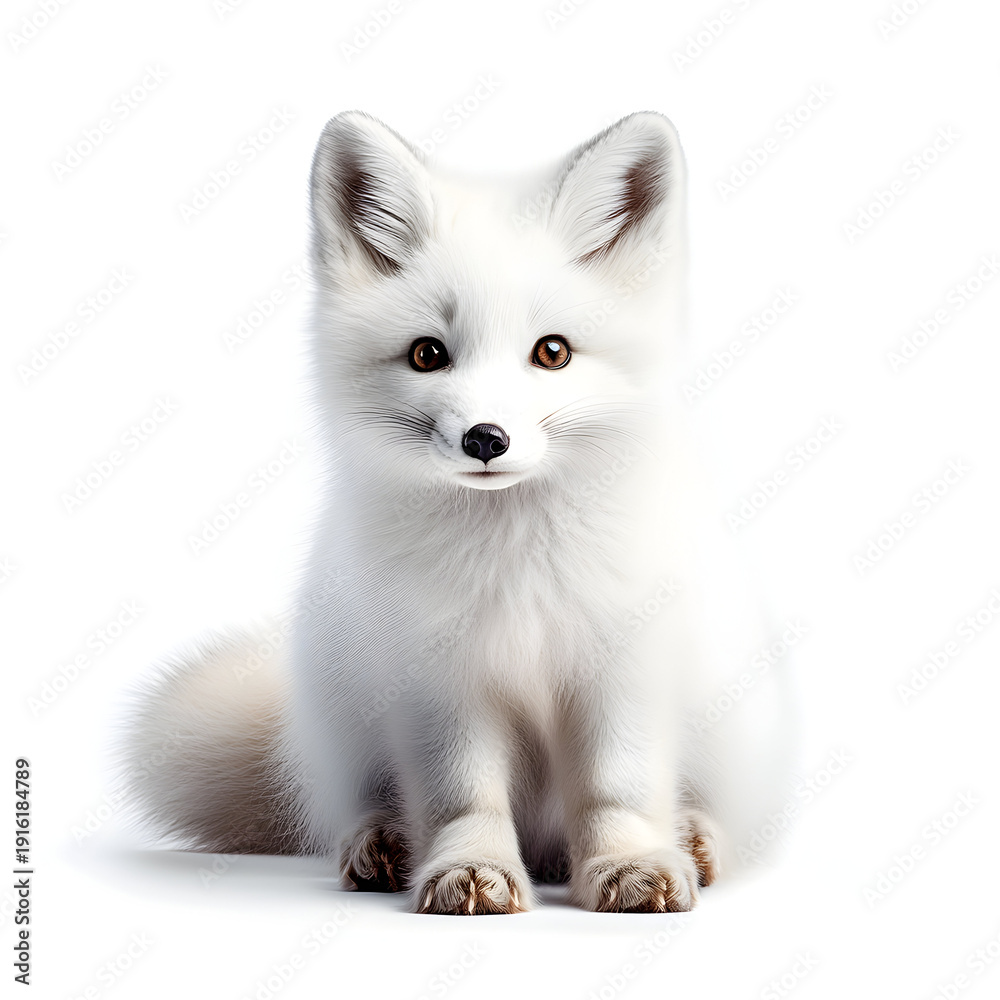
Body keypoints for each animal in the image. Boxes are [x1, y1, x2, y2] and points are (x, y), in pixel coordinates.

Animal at [121, 110, 793, 914]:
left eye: (553, 352)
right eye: (427, 354)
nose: (485, 439)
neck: (517, 567)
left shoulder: (623, 667)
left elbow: (616, 788)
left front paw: (631, 865)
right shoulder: (438, 684)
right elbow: (463, 798)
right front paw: (468, 869)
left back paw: (692, 838)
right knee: (361, 804)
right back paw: (383, 845)